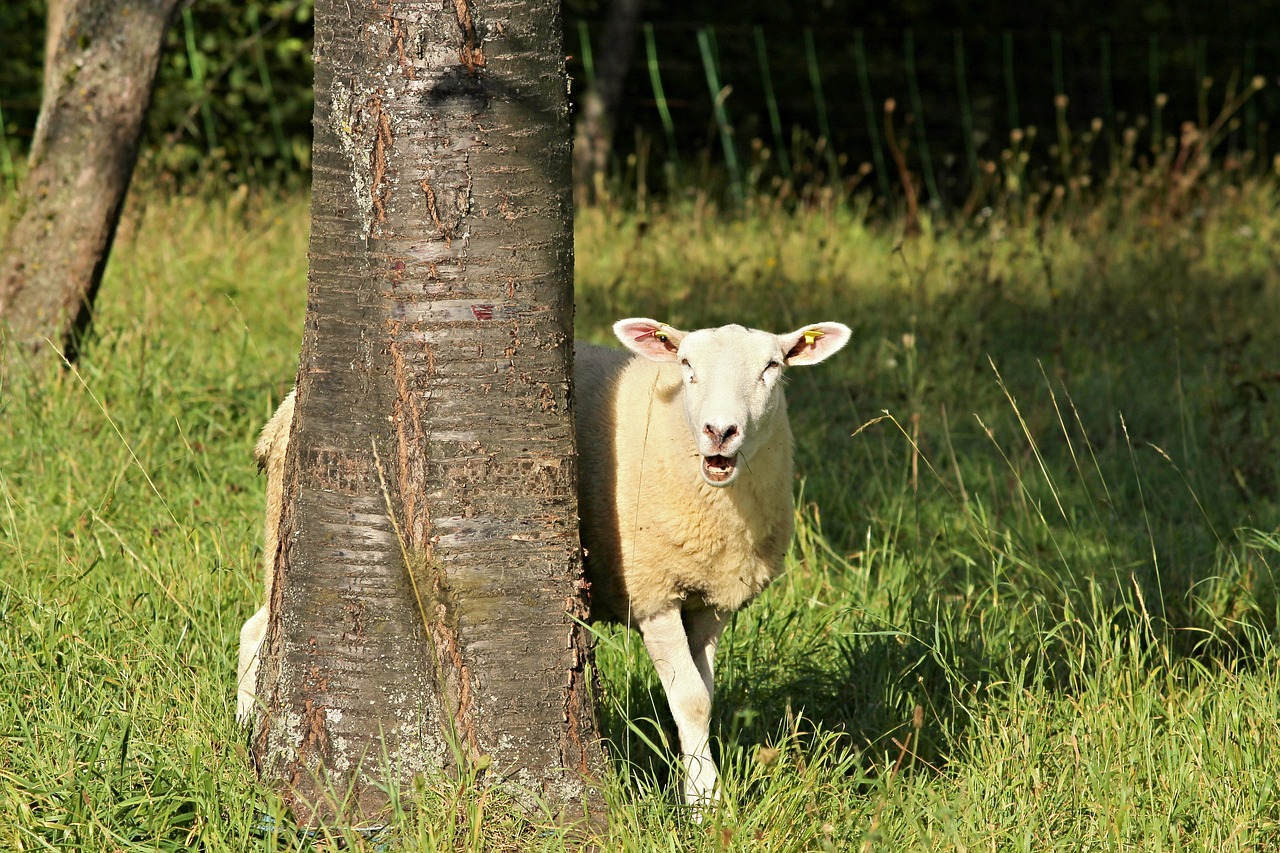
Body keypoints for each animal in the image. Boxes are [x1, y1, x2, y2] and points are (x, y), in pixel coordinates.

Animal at [235, 315, 855, 809]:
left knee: (256, 626)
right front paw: (704, 807)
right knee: (259, 629)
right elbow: (691, 702)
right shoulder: (652, 589)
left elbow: (704, 698)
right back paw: (246, 738)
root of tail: (285, 409)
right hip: (284, 512)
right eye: (686, 365)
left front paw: (705, 792)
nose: (719, 432)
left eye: (772, 367)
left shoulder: (713, 599)